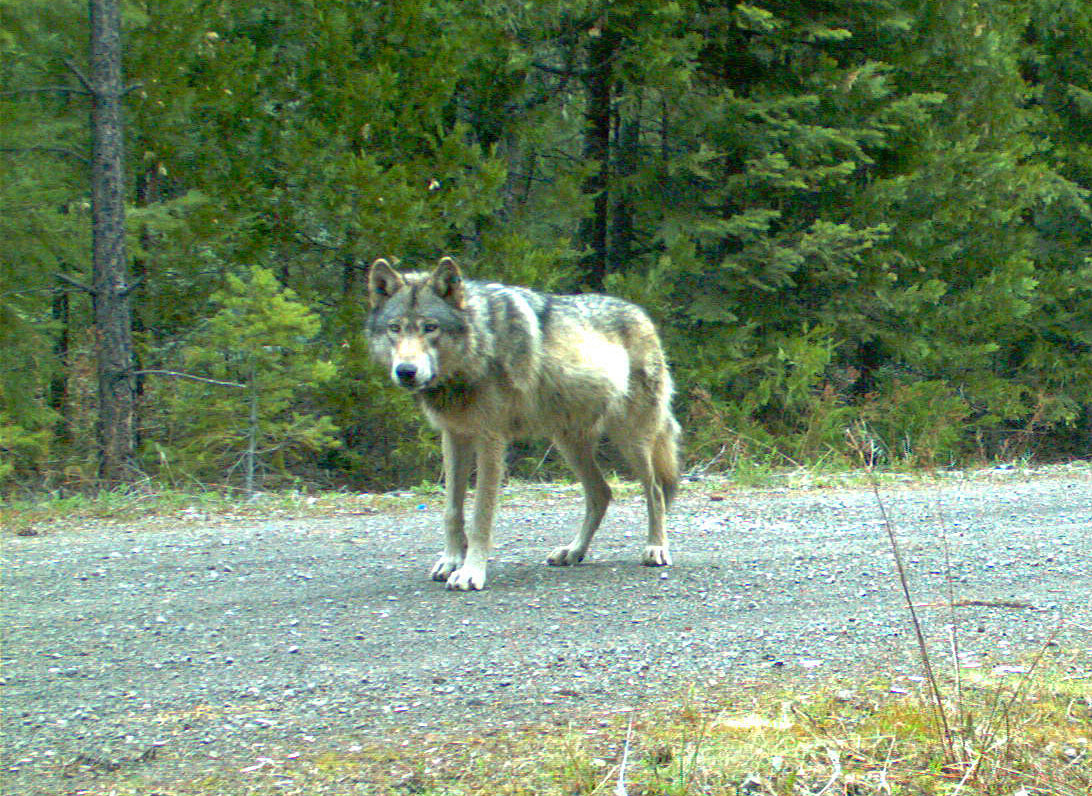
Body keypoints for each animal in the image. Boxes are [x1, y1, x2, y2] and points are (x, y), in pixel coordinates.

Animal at [366, 256, 680, 590]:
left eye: (430, 328)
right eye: (395, 328)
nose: (406, 371)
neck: (479, 346)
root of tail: (643, 315)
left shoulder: (490, 440)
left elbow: (480, 516)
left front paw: (470, 572)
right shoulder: (454, 436)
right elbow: (452, 511)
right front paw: (450, 561)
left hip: (631, 440)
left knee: (655, 490)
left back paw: (656, 548)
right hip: (569, 443)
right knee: (602, 493)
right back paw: (573, 552)